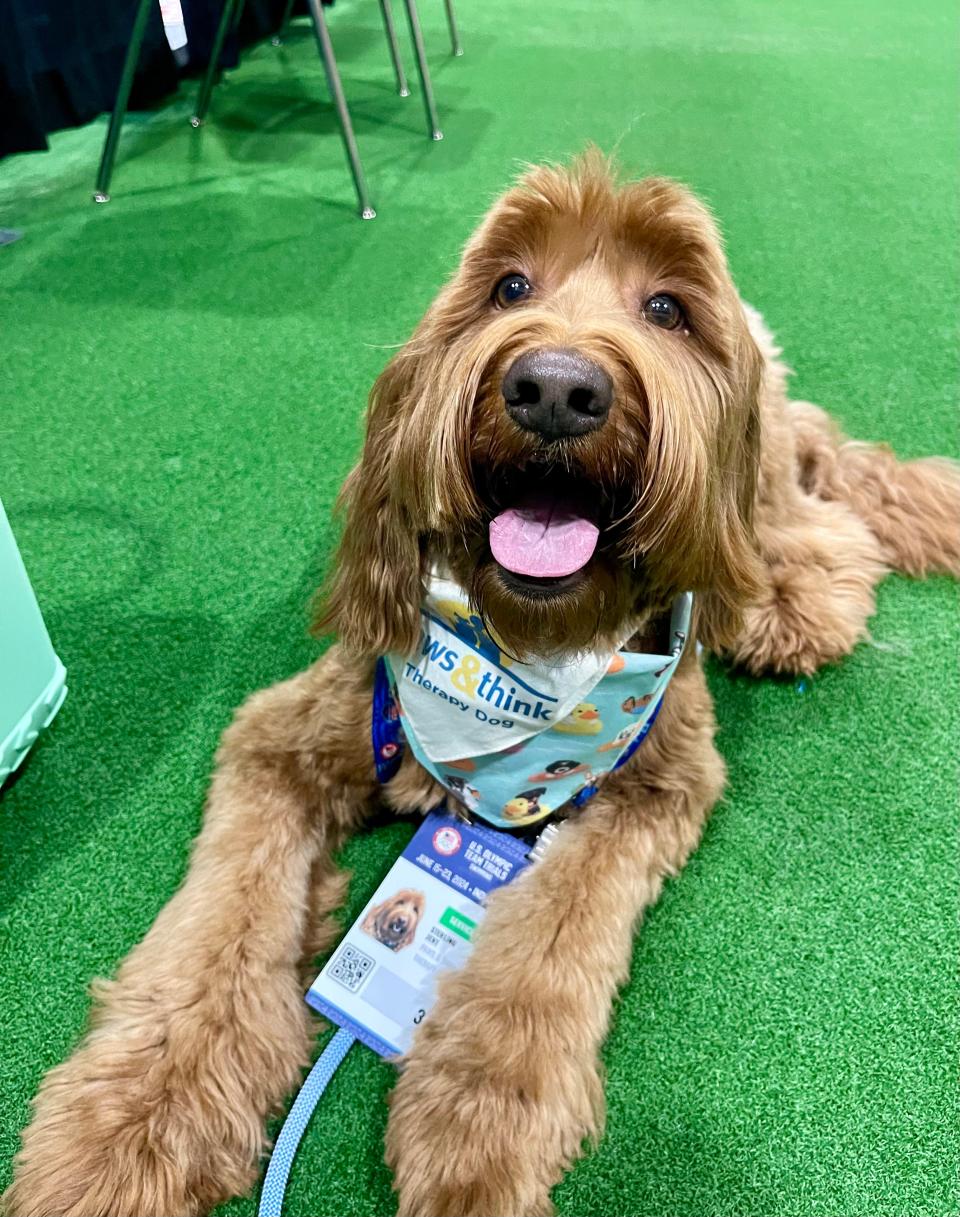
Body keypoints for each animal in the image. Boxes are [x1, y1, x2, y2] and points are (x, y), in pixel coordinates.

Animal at [7, 154, 958, 1217]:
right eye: (508, 286)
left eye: (666, 308)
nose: (555, 388)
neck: (525, 654)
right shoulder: (281, 736)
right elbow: (216, 925)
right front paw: (132, 1118)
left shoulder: (659, 781)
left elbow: (545, 945)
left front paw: (478, 1119)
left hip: (762, 492)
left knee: (815, 503)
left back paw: (792, 596)